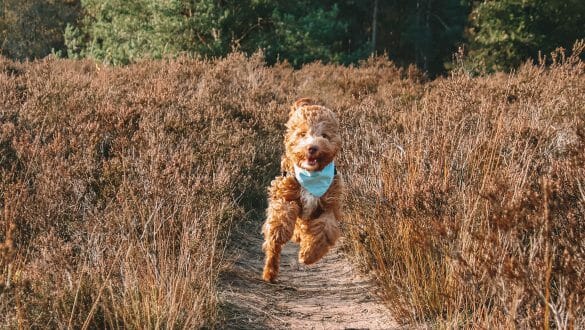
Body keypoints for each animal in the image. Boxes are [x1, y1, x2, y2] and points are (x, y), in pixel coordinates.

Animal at [262, 98, 342, 282]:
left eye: (324, 135)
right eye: (302, 134)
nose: (312, 148)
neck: (312, 175)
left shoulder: (329, 206)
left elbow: (324, 230)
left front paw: (309, 254)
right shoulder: (285, 196)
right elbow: (280, 222)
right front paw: (281, 234)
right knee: (273, 247)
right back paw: (269, 272)